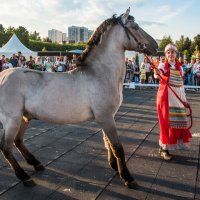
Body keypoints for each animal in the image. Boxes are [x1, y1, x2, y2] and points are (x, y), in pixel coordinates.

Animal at [0, 8, 158, 189]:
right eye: (136, 26)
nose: (155, 45)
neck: (100, 74)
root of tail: (3, 75)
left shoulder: (106, 118)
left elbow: (108, 143)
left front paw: (114, 167)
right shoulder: (106, 118)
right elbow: (117, 147)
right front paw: (127, 177)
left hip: (24, 117)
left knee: (18, 141)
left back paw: (36, 163)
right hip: (12, 120)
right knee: (6, 147)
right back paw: (24, 177)